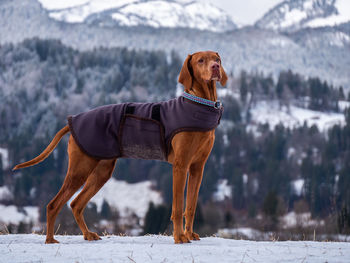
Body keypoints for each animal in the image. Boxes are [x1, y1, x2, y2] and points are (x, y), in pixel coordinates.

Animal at [13, 50, 227, 244]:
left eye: (216, 59)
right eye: (201, 60)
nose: (215, 67)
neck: (199, 104)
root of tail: (73, 120)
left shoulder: (197, 168)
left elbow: (190, 206)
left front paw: (189, 234)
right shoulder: (180, 167)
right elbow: (177, 206)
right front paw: (179, 237)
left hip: (101, 171)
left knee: (75, 204)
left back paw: (87, 234)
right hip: (80, 170)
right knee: (54, 204)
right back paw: (50, 239)